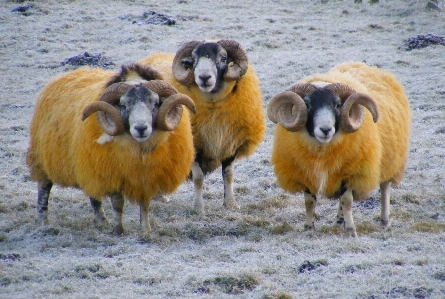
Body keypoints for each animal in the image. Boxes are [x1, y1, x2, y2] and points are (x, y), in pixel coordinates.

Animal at [25, 64, 196, 236]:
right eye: (123, 105)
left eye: (155, 103)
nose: (141, 128)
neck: (138, 150)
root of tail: (64, 76)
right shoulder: (112, 173)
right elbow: (118, 204)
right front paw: (119, 230)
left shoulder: (146, 178)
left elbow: (145, 204)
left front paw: (145, 230)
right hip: (43, 159)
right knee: (44, 189)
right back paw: (43, 222)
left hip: (88, 165)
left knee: (94, 194)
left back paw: (101, 221)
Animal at [139, 39, 264, 213]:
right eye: (193, 60)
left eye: (223, 58)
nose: (204, 77)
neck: (212, 106)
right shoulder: (193, 144)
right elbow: (198, 178)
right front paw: (198, 208)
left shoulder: (231, 143)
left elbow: (228, 175)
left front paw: (231, 204)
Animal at [268, 62, 410, 238]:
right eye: (307, 104)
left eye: (337, 104)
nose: (325, 129)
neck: (322, 150)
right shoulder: (307, 173)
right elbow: (310, 202)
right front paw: (308, 227)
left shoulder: (351, 172)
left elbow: (347, 202)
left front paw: (351, 231)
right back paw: (338, 223)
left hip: (390, 159)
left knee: (384, 189)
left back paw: (384, 221)